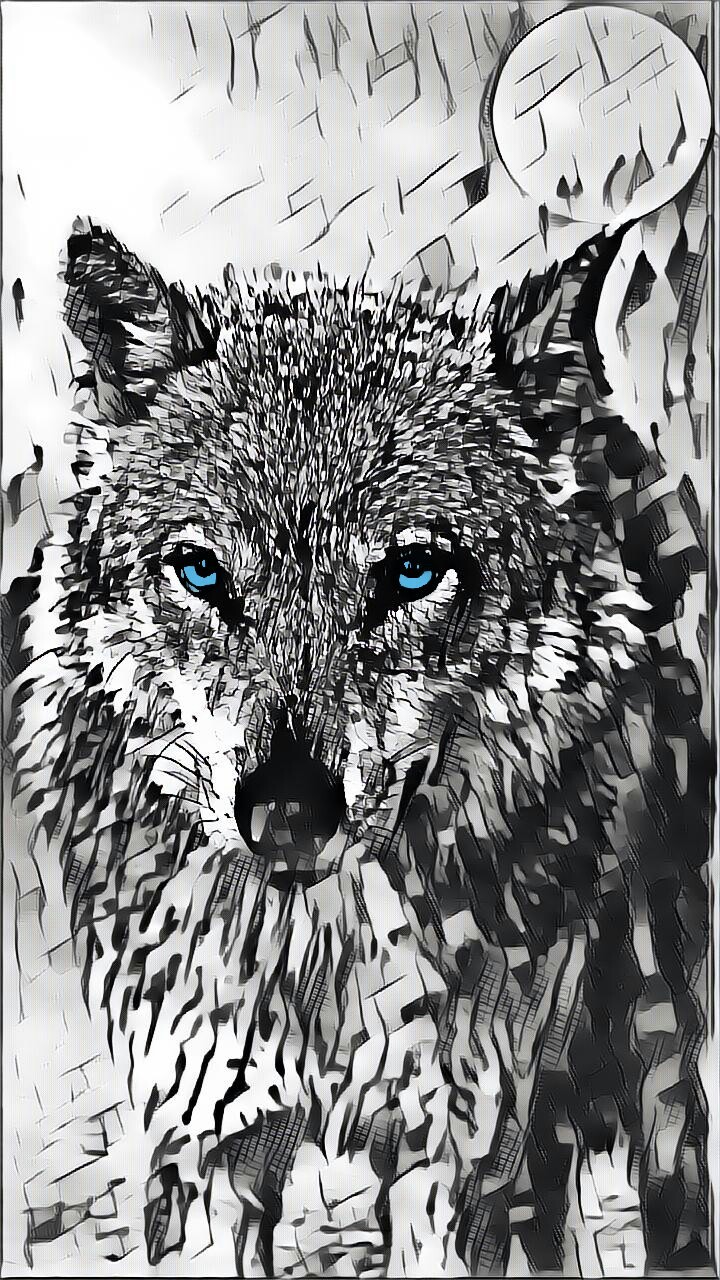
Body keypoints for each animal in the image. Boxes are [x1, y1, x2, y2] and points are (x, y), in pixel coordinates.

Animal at [6, 216, 711, 1276]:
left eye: (414, 571)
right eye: (202, 573)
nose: (287, 814)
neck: (315, 960)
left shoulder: (462, 1152)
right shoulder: (206, 1137)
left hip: (654, 1068)